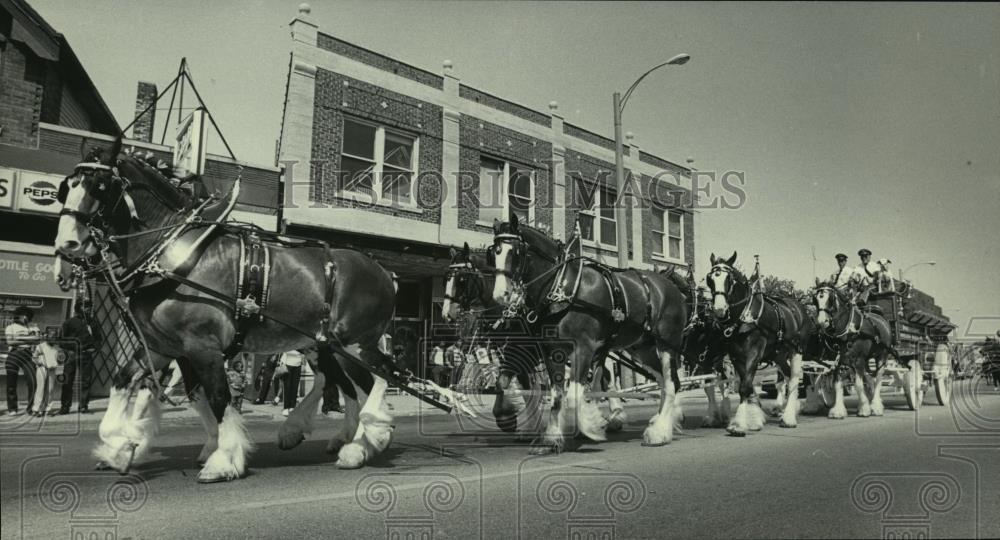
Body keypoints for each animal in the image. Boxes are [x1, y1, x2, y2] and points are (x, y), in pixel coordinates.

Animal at [53, 140, 398, 480]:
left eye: (99, 186)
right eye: (65, 187)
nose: (66, 246)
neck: (172, 254)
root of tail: (383, 271)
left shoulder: (201, 345)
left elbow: (218, 397)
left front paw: (223, 459)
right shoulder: (162, 347)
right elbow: (127, 382)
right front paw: (120, 447)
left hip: (351, 344)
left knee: (374, 382)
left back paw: (364, 442)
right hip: (323, 345)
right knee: (345, 384)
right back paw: (324, 433)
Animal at [490, 215, 688, 452]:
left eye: (515, 252)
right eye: (494, 252)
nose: (500, 295)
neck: (562, 288)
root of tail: (671, 286)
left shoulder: (584, 347)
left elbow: (574, 396)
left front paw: (592, 425)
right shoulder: (552, 350)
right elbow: (557, 395)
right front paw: (552, 438)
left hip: (667, 343)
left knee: (671, 383)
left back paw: (659, 432)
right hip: (642, 347)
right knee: (663, 381)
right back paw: (661, 422)